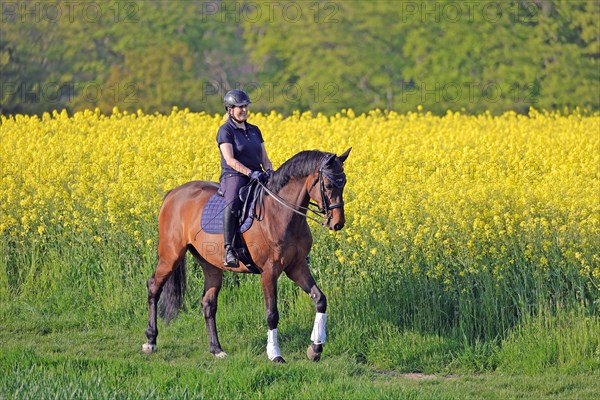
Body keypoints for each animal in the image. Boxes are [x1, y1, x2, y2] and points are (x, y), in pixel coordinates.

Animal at [142, 148, 350, 364]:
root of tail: (173, 193)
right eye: (328, 185)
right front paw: (275, 354)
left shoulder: (297, 267)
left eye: (343, 182)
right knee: (154, 287)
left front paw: (315, 348)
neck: (281, 213)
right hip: (171, 255)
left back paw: (216, 349)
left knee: (208, 303)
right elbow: (272, 314)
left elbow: (320, 299)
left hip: (211, 266)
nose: (337, 223)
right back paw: (150, 342)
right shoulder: (269, 271)